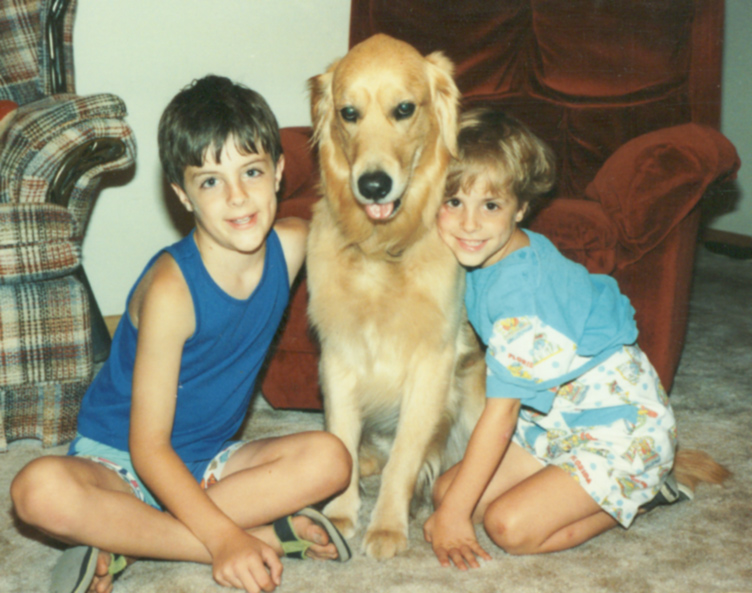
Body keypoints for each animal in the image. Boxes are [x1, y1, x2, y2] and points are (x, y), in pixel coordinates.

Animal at [306, 34, 488, 556]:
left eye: (404, 109)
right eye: (348, 113)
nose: (372, 184)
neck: (380, 252)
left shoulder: (433, 362)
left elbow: (406, 456)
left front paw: (386, 524)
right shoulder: (337, 357)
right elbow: (341, 442)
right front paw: (340, 514)